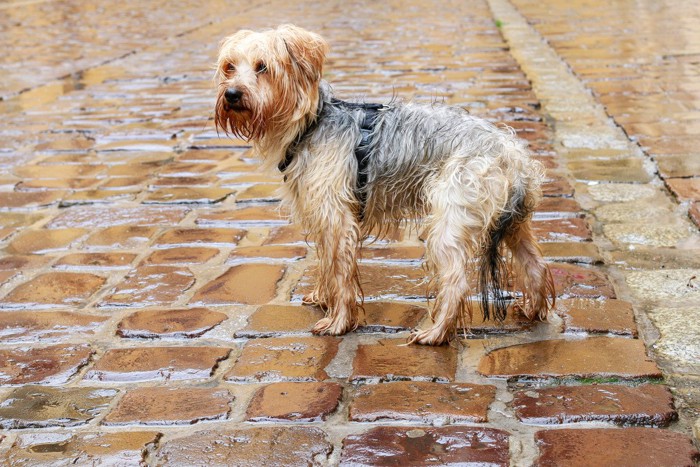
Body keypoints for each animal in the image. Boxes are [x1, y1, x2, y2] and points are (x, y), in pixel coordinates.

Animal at [212, 25, 552, 346]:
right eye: (229, 67)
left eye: (262, 67)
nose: (231, 94)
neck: (311, 123)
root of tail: (512, 156)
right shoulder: (323, 216)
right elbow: (326, 263)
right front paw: (323, 298)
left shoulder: (337, 219)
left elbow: (340, 272)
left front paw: (338, 321)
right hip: (514, 223)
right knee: (535, 264)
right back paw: (532, 310)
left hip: (450, 223)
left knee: (456, 281)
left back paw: (436, 333)